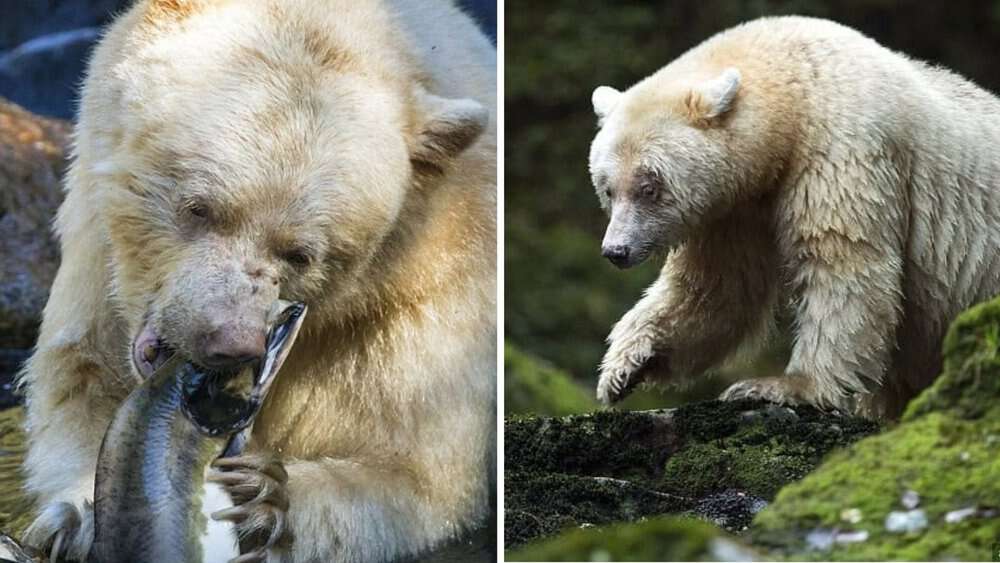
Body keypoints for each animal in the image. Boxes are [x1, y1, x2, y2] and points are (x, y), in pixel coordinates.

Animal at [18, 0, 496, 561]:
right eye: (199, 207)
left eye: (301, 253)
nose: (231, 342)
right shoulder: (96, 260)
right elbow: (82, 376)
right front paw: (74, 518)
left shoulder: (420, 307)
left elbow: (418, 478)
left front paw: (265, 498)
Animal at [590, 15, 1000, 419]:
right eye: (607, 188)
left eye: (649, 187)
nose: (616, 251)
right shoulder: (735, 209)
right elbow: (718, 288)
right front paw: (624, 367)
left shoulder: (842, 149)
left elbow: (842, 262)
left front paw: (782, 386)